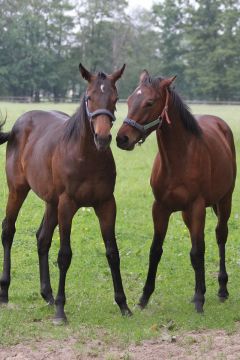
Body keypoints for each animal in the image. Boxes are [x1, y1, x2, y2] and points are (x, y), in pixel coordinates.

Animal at [0, 62, 131, 324]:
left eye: (115, 98)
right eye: (89, 97)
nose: (102, 137)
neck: (86, 157)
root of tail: (18, 125)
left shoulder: (106, 204)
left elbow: (113, 252)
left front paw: (123, 304)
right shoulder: (67, 205)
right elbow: (64, 255)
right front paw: (61, 310)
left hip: (51, 202)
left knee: (42, 238)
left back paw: (47, 294)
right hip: (18, 190)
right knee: (8, 230)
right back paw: (5, 292)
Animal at [116, 69, 236, 312]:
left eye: (149, 102)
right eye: (131, 100)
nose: (122, 138)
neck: (178, 159)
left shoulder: (197, 206)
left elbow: (198, 251)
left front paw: (199, 300)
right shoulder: (160, 208)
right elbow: (156, 250)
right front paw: (144, 297)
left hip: (224, 201)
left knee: (220, 236)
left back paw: (221, 289)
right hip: (187, 214)